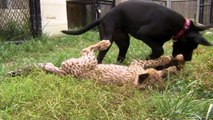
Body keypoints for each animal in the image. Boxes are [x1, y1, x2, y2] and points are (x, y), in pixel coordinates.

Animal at [61, 0, 211, 63]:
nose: (188, 60)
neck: (180, 27)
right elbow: (159, 49)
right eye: (193, 46)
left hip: (124, 41)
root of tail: (103, 17)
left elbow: (158, 49)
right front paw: (148, 58)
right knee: (99, 57)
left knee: (120, 56)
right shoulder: (143, 33)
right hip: (107, 40)